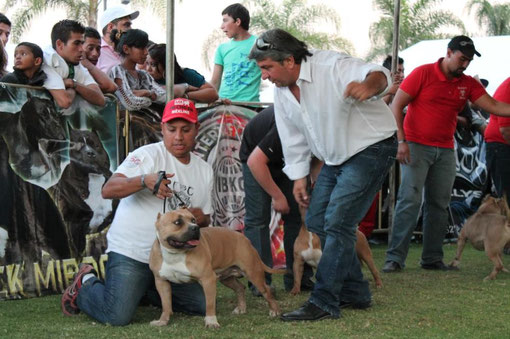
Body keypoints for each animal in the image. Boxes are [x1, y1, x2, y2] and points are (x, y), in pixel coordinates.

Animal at [148, 207, 282, 330]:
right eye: (177, 222)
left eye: (193, 220)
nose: (195, 227)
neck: (175, 254)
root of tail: (243, 237)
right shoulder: (161, 282)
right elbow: (166, 304)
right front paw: (163, 321)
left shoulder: (208, 280)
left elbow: (209, 304)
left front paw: (211, 322)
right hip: (226, 277)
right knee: (240, 287)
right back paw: (241, 308)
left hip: (253, 273)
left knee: (266, 291)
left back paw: (274, 311)